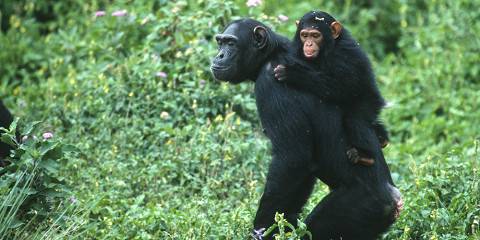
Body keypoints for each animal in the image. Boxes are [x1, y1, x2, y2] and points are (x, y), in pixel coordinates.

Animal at [274, 10, 390, 165]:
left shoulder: (345, 53)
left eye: (315, 36)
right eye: (304, 35)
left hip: (371, 104)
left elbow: (343, 88)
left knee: (355, 120)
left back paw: (365, 155)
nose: (309, 44)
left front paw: (293, 73)